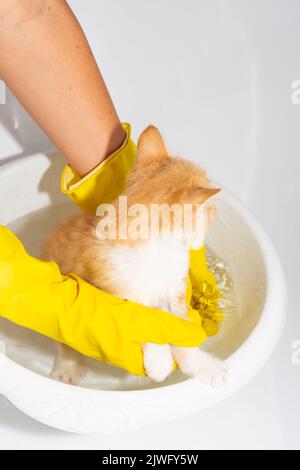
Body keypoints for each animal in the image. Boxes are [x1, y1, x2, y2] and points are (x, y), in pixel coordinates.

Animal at [44, 125, 227, 386]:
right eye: (210, 213)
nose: (213, 213)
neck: (157, 253)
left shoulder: (176, 289)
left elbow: (181, 327)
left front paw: (201, 364)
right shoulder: (122, 292)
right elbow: (145, 319)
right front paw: (159, 360)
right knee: (62, 338)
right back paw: (67, 367)